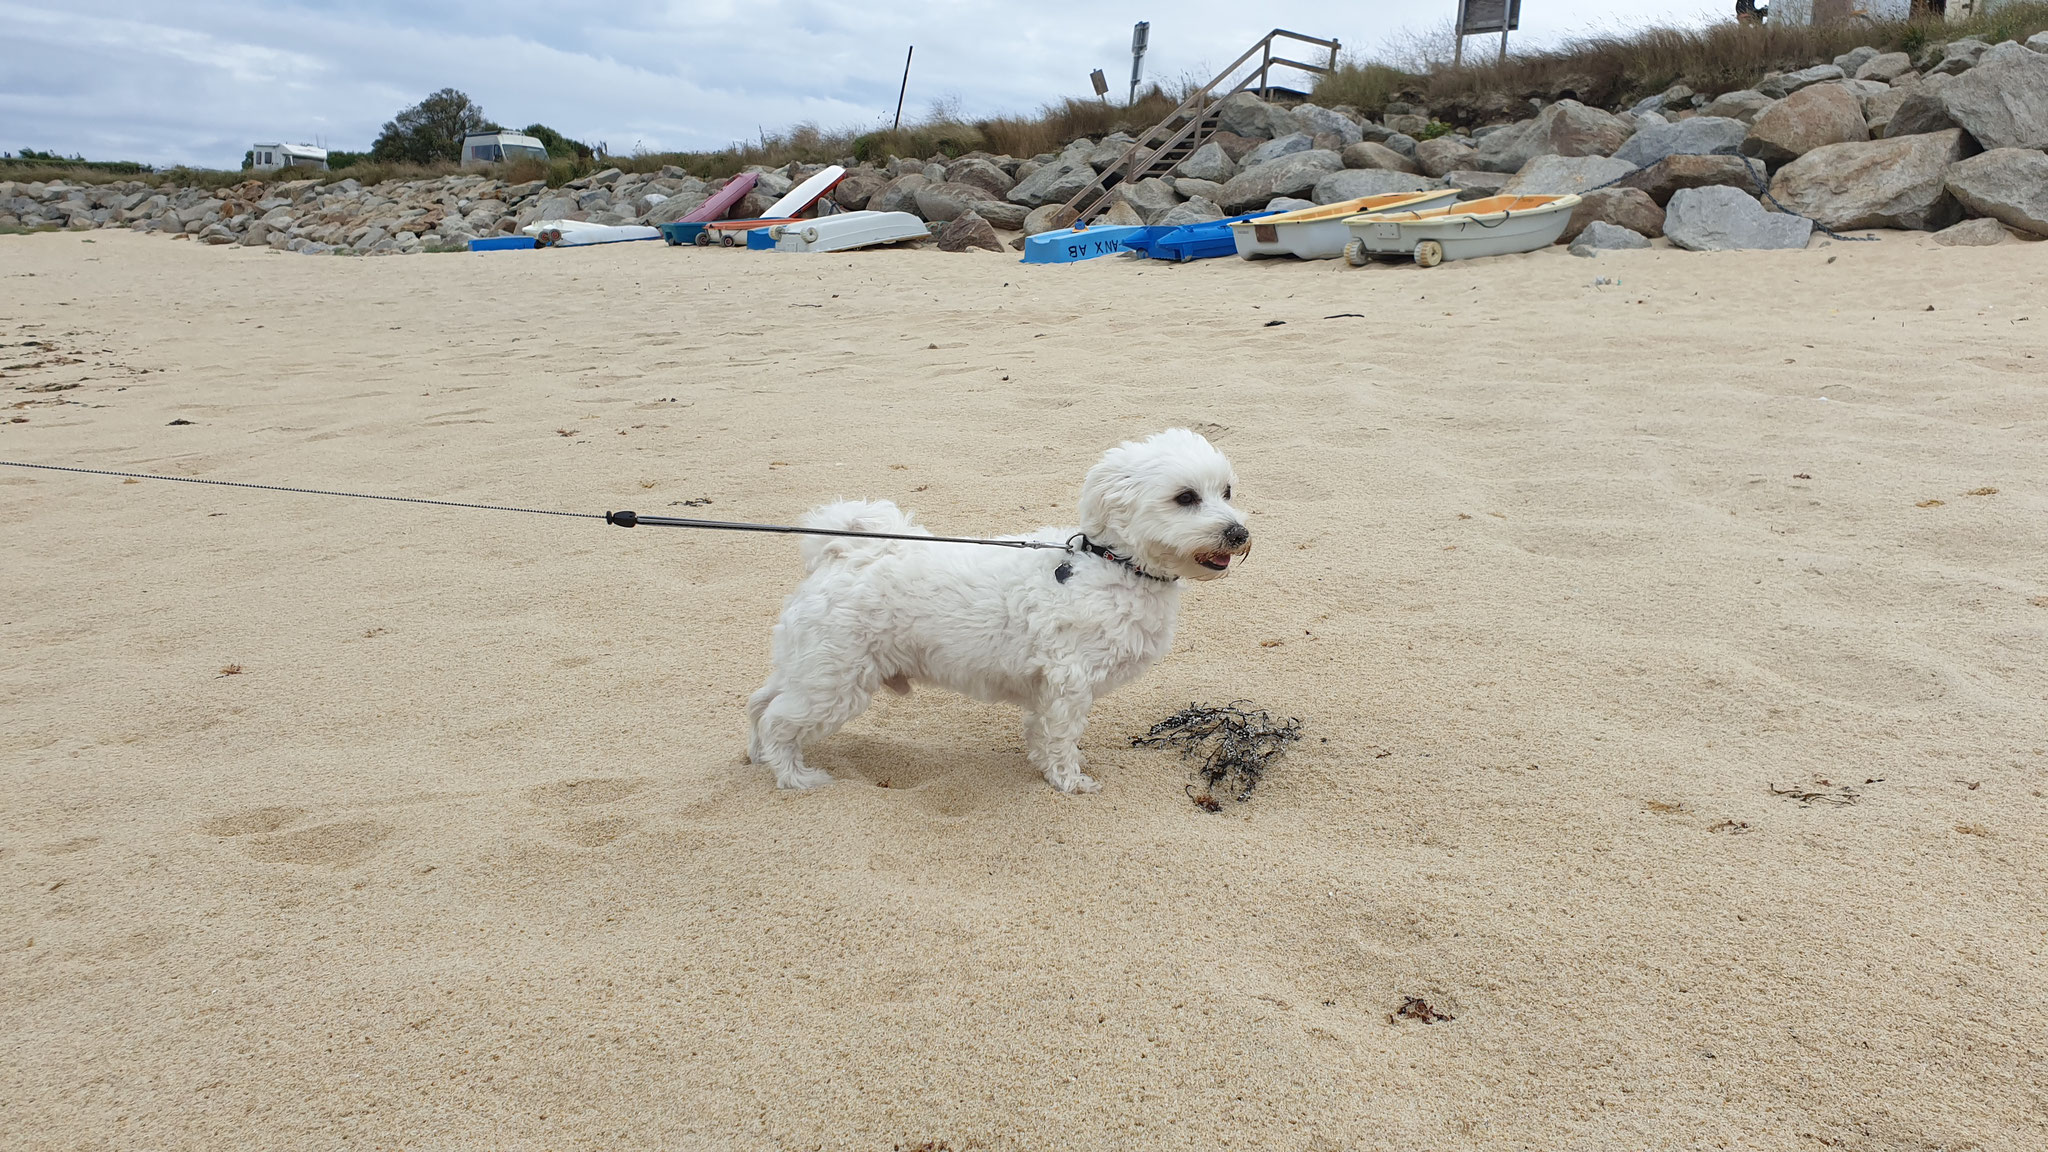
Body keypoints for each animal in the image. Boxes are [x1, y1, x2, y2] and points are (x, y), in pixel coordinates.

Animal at [749, 426, 1245, 795]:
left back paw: (756, 755)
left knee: (760, 703)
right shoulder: (1069, 683)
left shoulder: (1049, 689)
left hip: (809, 669)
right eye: (1185, 497)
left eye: (1226, 491)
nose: (1238, 533)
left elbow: (1043, 734)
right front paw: (1070, 780)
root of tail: (843, 554)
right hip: (835, 684)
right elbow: (1061, 736)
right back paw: (795, 776)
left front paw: (1051, 765)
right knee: (778, 722)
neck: (1113, 563)